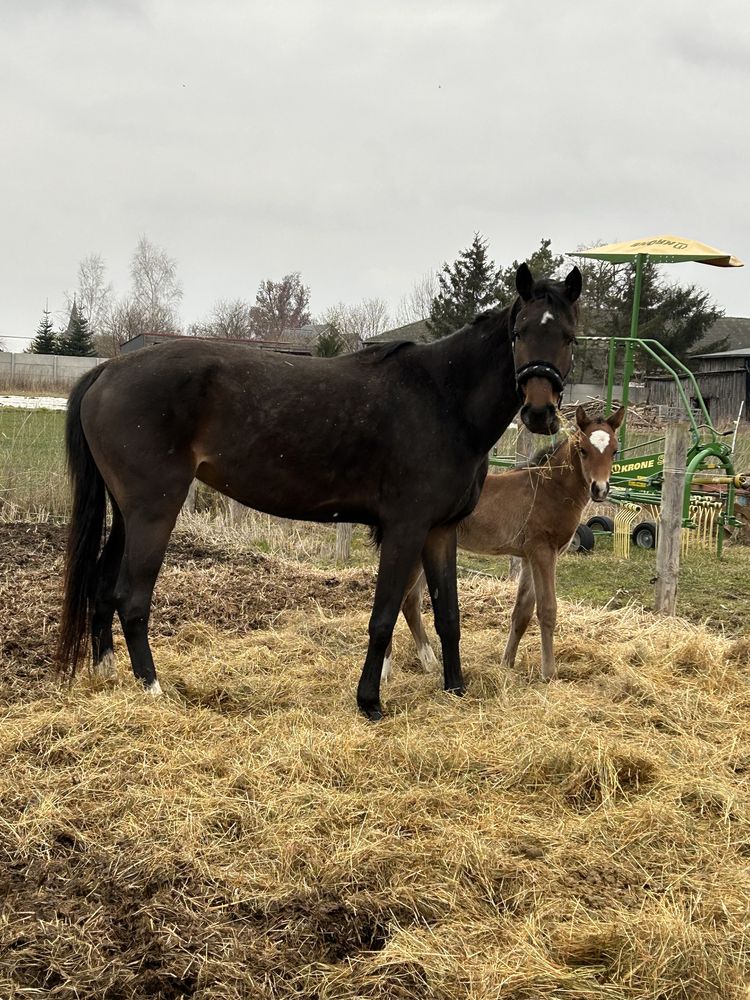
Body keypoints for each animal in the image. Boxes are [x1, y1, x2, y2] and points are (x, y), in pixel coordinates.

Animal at [388, 404, 628, 680]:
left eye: (614, 451)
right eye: (583, 450)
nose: (600, 489)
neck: (549, 490)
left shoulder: (528, 558)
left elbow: (522, 613)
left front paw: (507, 664)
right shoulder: (543, 553)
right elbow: (547, 610)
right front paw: (549, 674)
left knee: (410, 603)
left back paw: (430, 663)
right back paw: (386, 673)